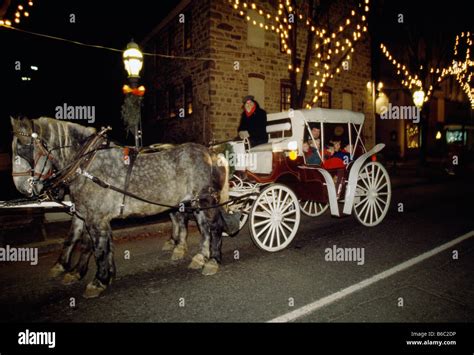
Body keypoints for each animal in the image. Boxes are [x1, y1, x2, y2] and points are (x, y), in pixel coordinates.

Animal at [11, 118, 230, 298]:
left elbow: (97, 249)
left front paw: (97, 281)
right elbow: (79, 241)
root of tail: (211, 153)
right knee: (202, 228)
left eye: (23, 149)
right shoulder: (85, 215)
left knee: (215, 227)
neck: (86, 163)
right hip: (196, 202)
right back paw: (200, 257)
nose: (22, 188)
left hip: (206, 200)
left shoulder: (95, 218)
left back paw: (212, 261)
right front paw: (80, 272)